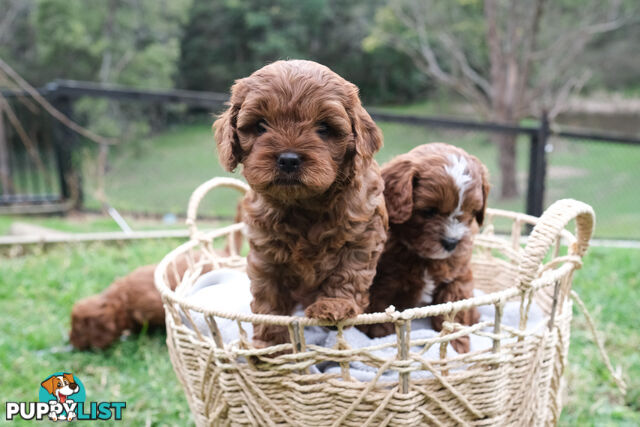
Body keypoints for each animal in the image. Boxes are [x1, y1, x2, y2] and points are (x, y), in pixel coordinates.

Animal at [360, 142, 490, 352]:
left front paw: (456, 342)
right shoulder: (384, 280)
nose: (452, 242)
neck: (425, 258)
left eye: (471, 212)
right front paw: (382, 334)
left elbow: (453, 309)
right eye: (429, 211)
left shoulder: (458, 276)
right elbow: (381, 306)